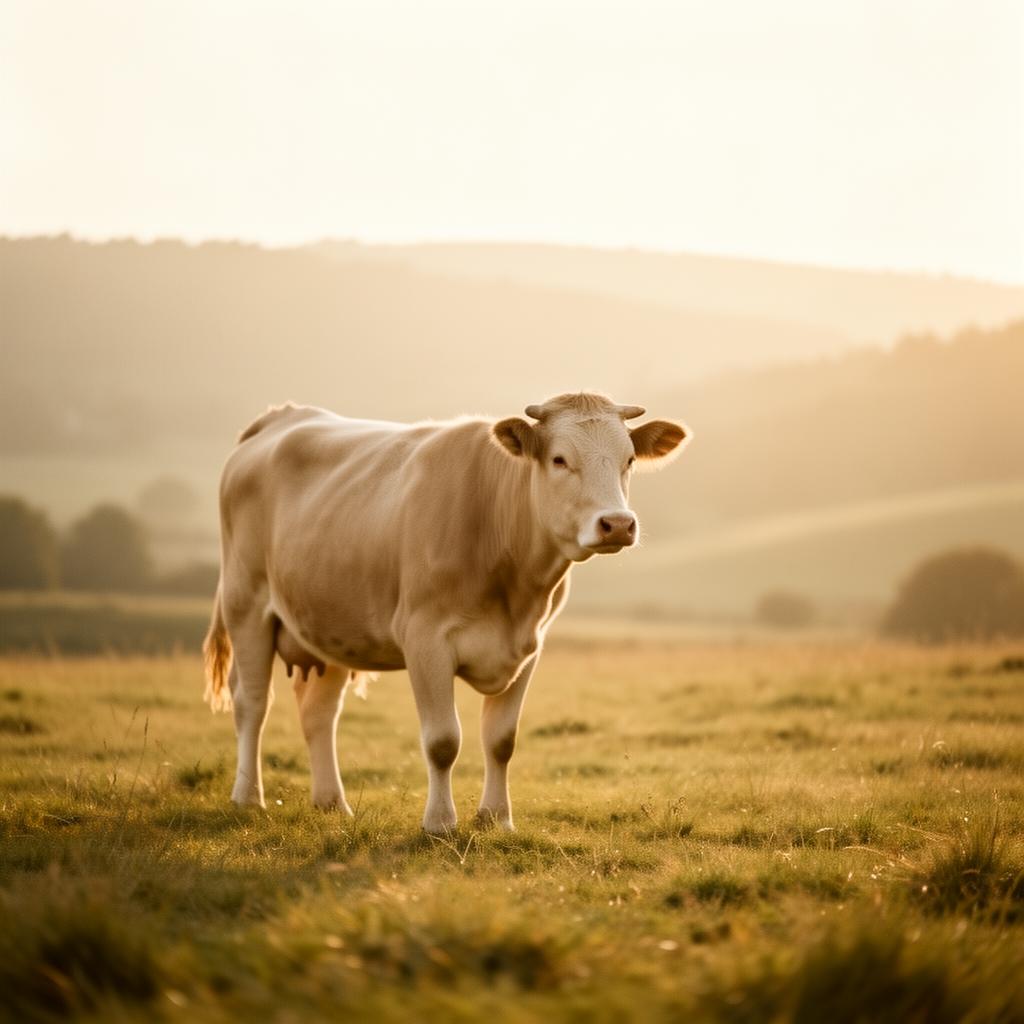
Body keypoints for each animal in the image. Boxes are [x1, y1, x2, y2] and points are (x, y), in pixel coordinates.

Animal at [203, 392, 688, 832]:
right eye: (559, 459)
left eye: (629, 459)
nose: (618, 524)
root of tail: (282, 416)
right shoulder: (425, 639)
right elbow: (442, 741)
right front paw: (439, 824)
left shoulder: (530, 648)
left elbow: (501, 740)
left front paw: (497, 819)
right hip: (246, 604)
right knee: (252, 703)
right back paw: (248, 797)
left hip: (329, 623)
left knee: (319, 713)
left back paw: (332, 804)